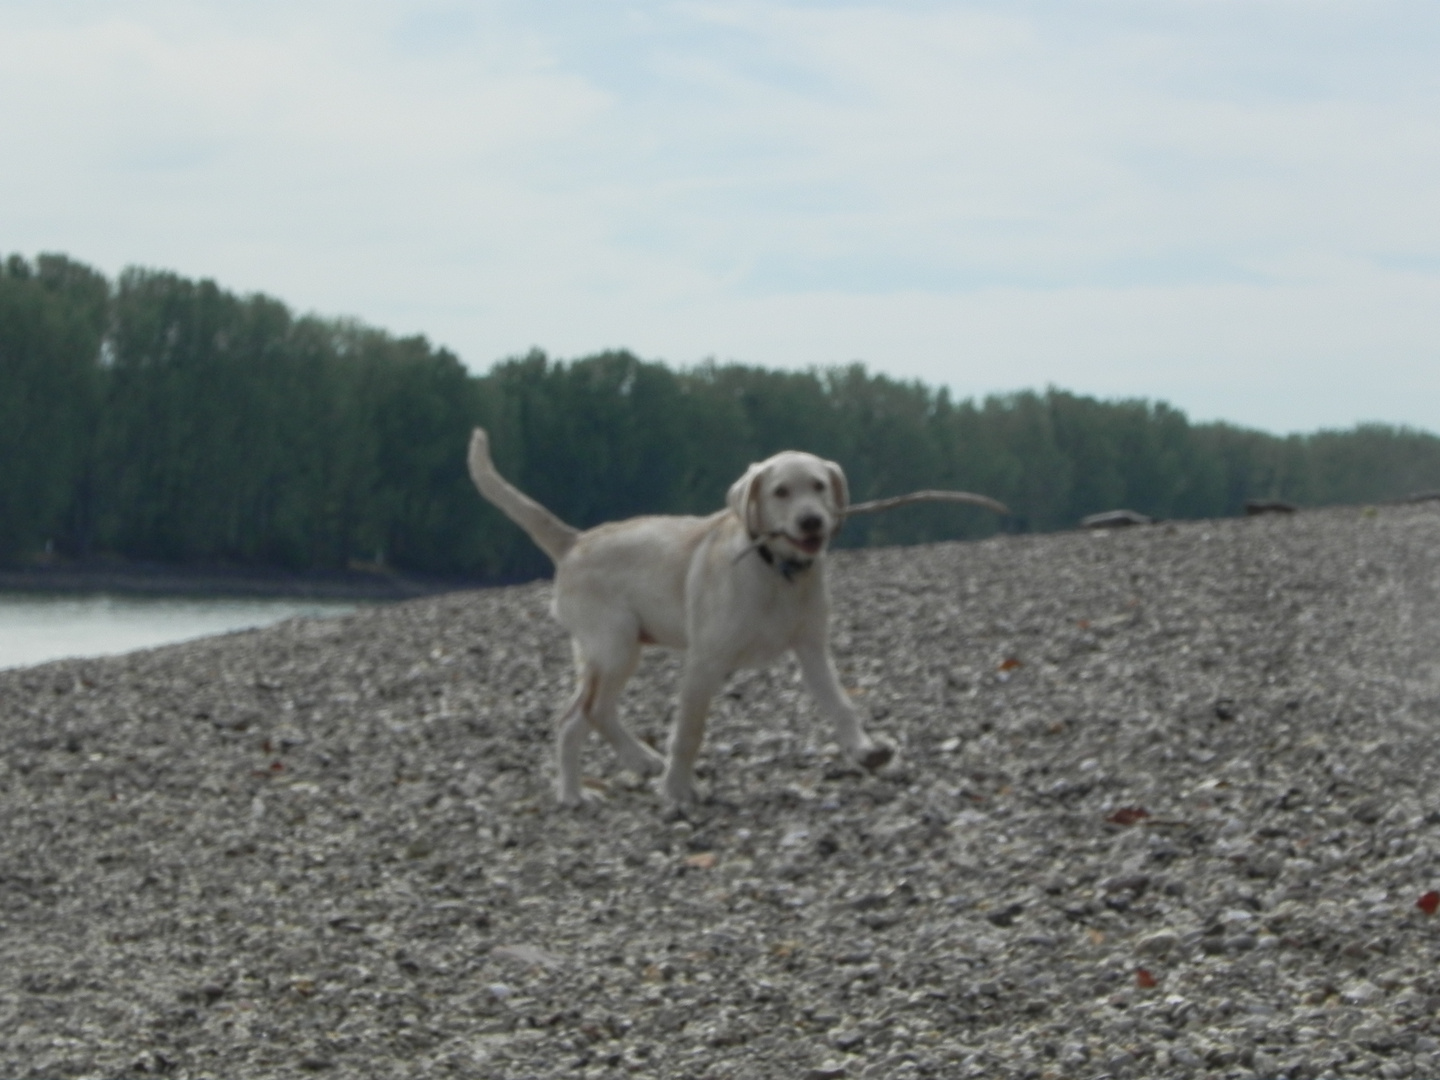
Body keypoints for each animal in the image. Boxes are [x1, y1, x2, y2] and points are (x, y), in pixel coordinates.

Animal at [466, 426, 892, 806]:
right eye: (781, 491)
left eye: (819, 486)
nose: (811, 521)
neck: (775, 569)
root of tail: (575, 540)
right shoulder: (705, 660)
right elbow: (689, 731)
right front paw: (677, 790)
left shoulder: (812, 650)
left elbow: (841, 705)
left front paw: (864, 749)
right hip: (615, 647)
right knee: (579, 717)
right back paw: (587, 787)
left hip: (606, 654)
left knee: (588, 713)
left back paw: (625, 767)